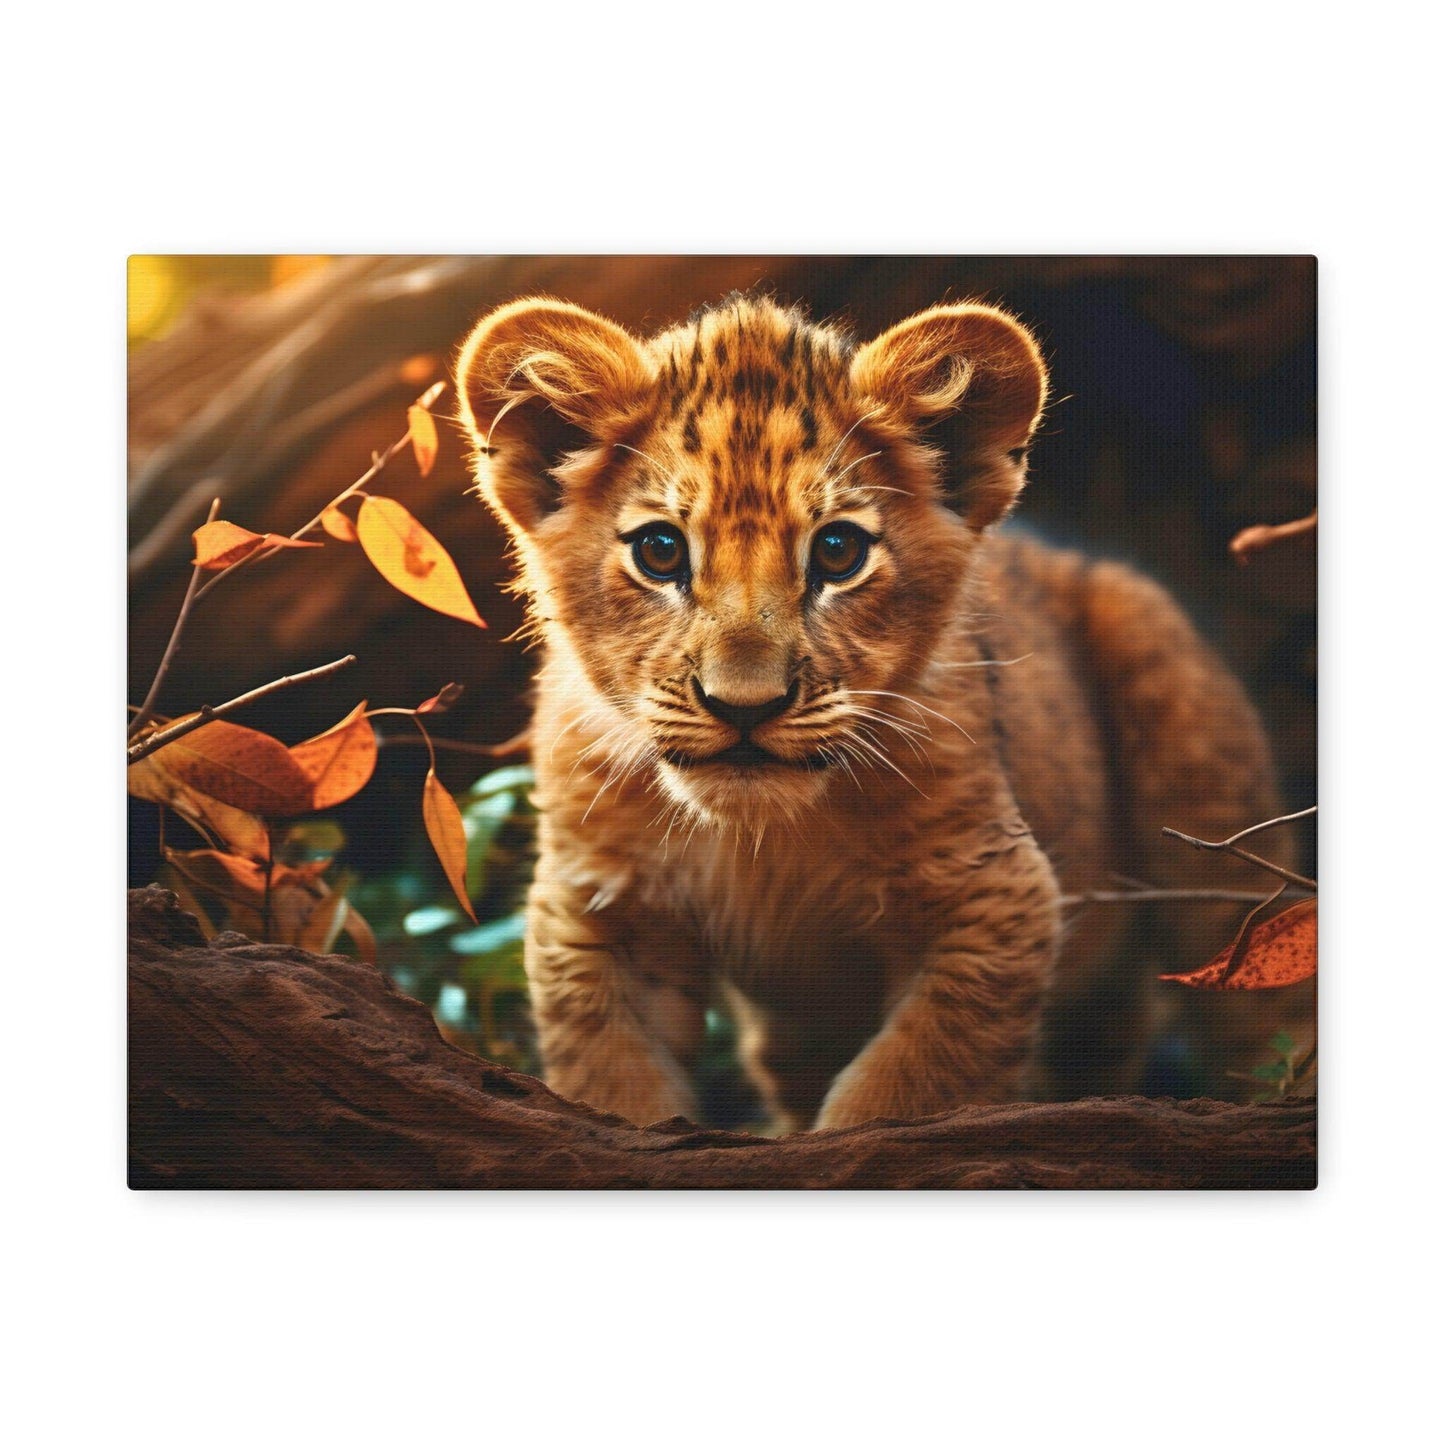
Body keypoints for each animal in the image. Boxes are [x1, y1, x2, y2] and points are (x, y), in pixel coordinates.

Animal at [454, 292, 1310, 1131]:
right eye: (660, 552)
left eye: (837, 552)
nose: (744, 706)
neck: (760, 840)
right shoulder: (597, 912)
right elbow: (615, 1086)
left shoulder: (996, 893)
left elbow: (900, 1088)